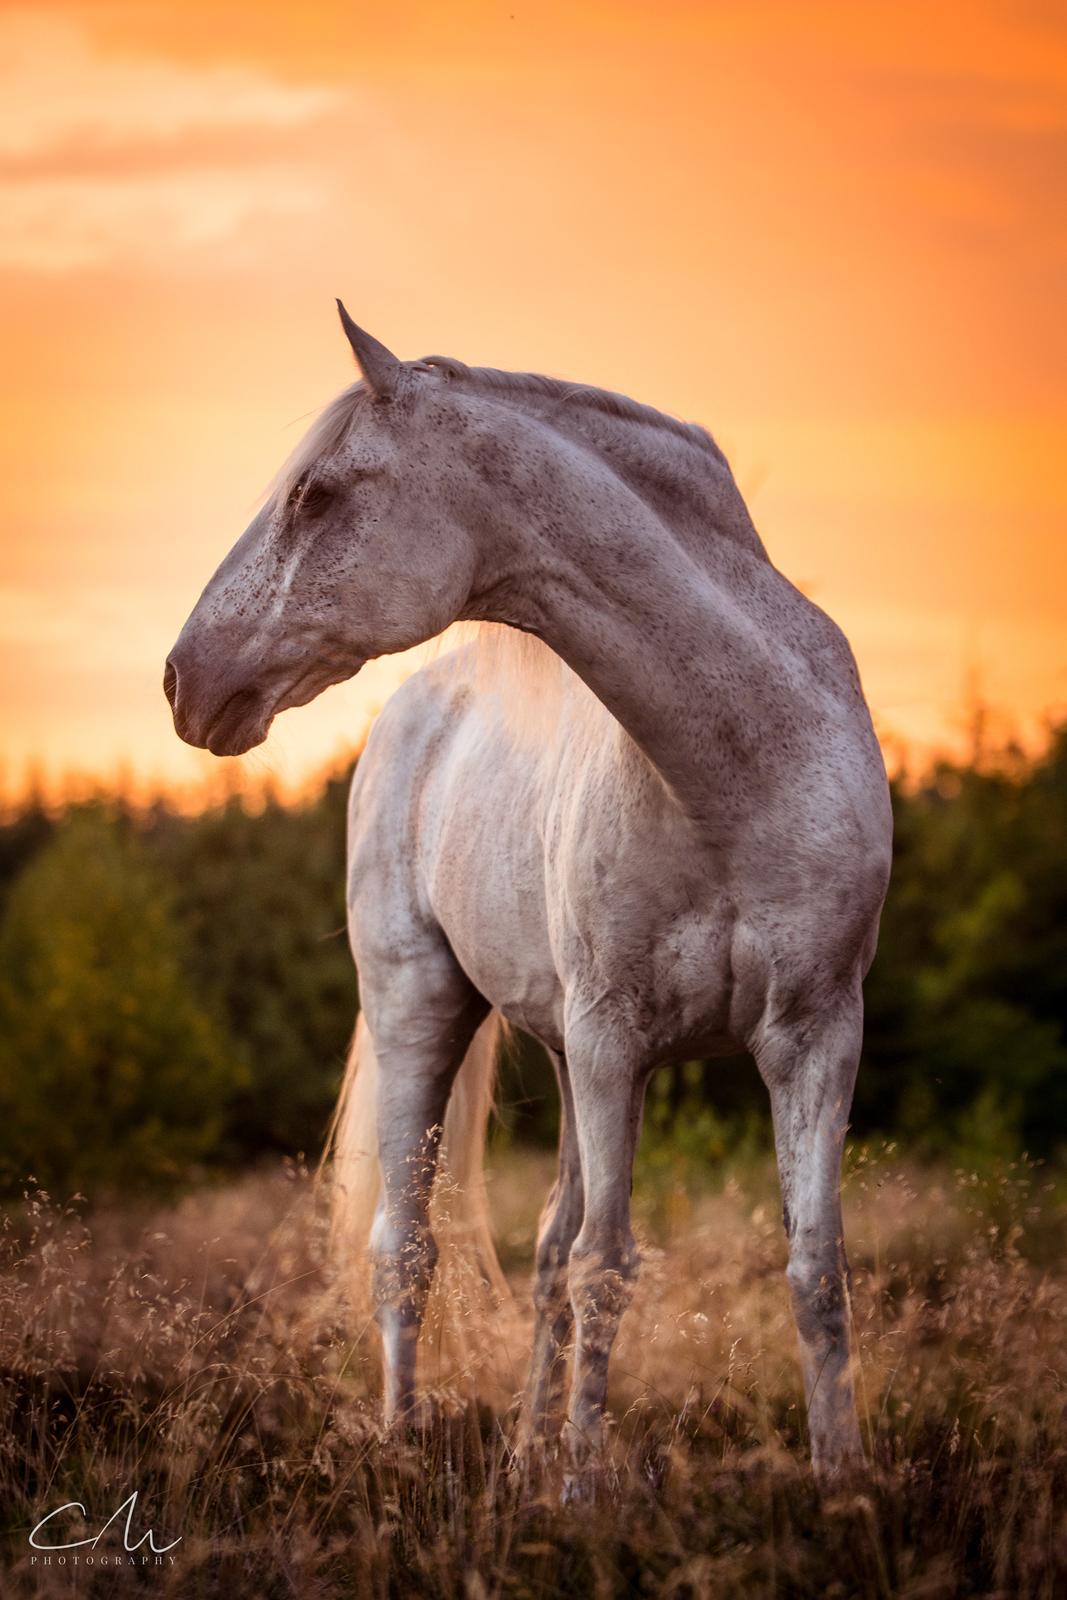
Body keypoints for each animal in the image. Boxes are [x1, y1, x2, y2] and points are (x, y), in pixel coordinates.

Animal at [163, 305, 889, 1478]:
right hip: (424, 1008)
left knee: (543, 1243)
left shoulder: (814, 1034)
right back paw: (405, 1443)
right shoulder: (611, 1036)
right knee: (407, 1243)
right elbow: (606, 1265)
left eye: (313, 493)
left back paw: (517, 1463)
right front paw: (585, 1490)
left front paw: (843, 1483)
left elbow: (812, 1269)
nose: (184, 679)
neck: (741, 766)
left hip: (560, 1054)